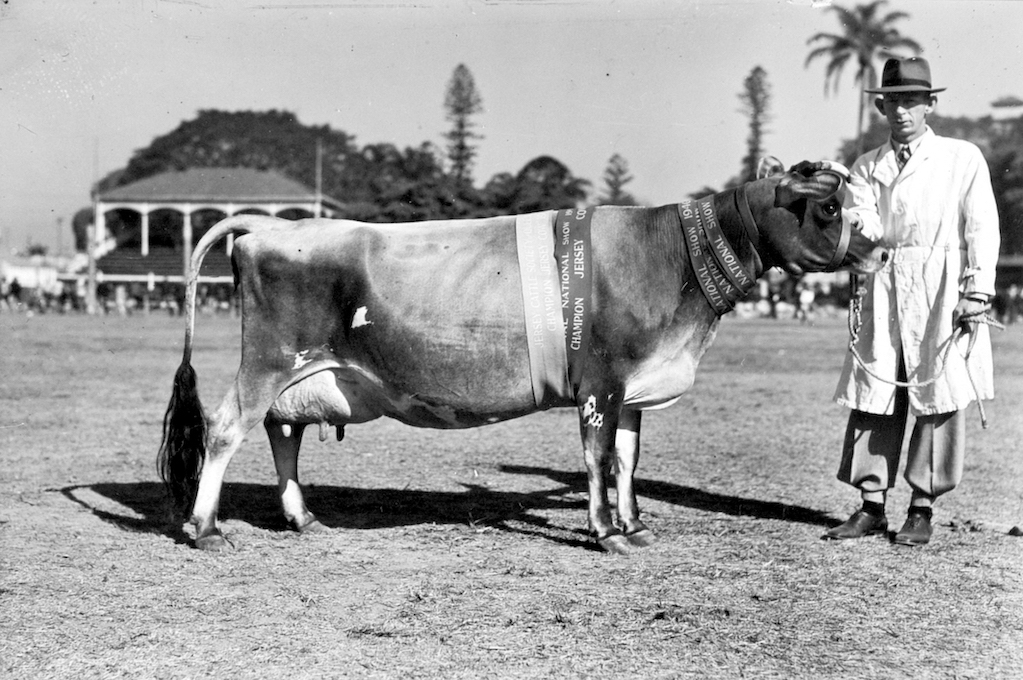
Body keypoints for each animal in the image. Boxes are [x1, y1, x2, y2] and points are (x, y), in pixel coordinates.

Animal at [157, 159, 887, 552]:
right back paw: (204, 527)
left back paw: (302, 516)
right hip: (269, 359)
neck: (671, 260)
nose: (880, 250)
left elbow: (628, 461)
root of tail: (271, 224)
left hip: (302, 372)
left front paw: (633, 524)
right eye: (827, 209)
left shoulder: (634, 387)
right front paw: (605, 532)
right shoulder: (601, 382)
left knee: (283, 432)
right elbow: (597, 460)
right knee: (227, 428)